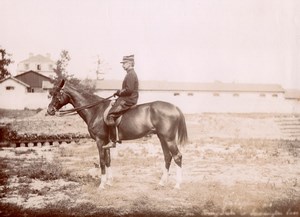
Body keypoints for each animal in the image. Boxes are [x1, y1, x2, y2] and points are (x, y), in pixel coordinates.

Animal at [47, 80, 188, 190]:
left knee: (177, 156)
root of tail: (174, 107)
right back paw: (162, 183)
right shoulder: (106, 142)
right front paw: (109, 182)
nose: (49, 110)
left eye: (57, 94)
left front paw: (102, 184)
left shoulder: (100, 141)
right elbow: (108, 160)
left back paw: (177, 185)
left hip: (169, 139)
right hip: (162, 138)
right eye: (51, 94)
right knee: (167, 157)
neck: (95, 110)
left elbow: (102, 161)